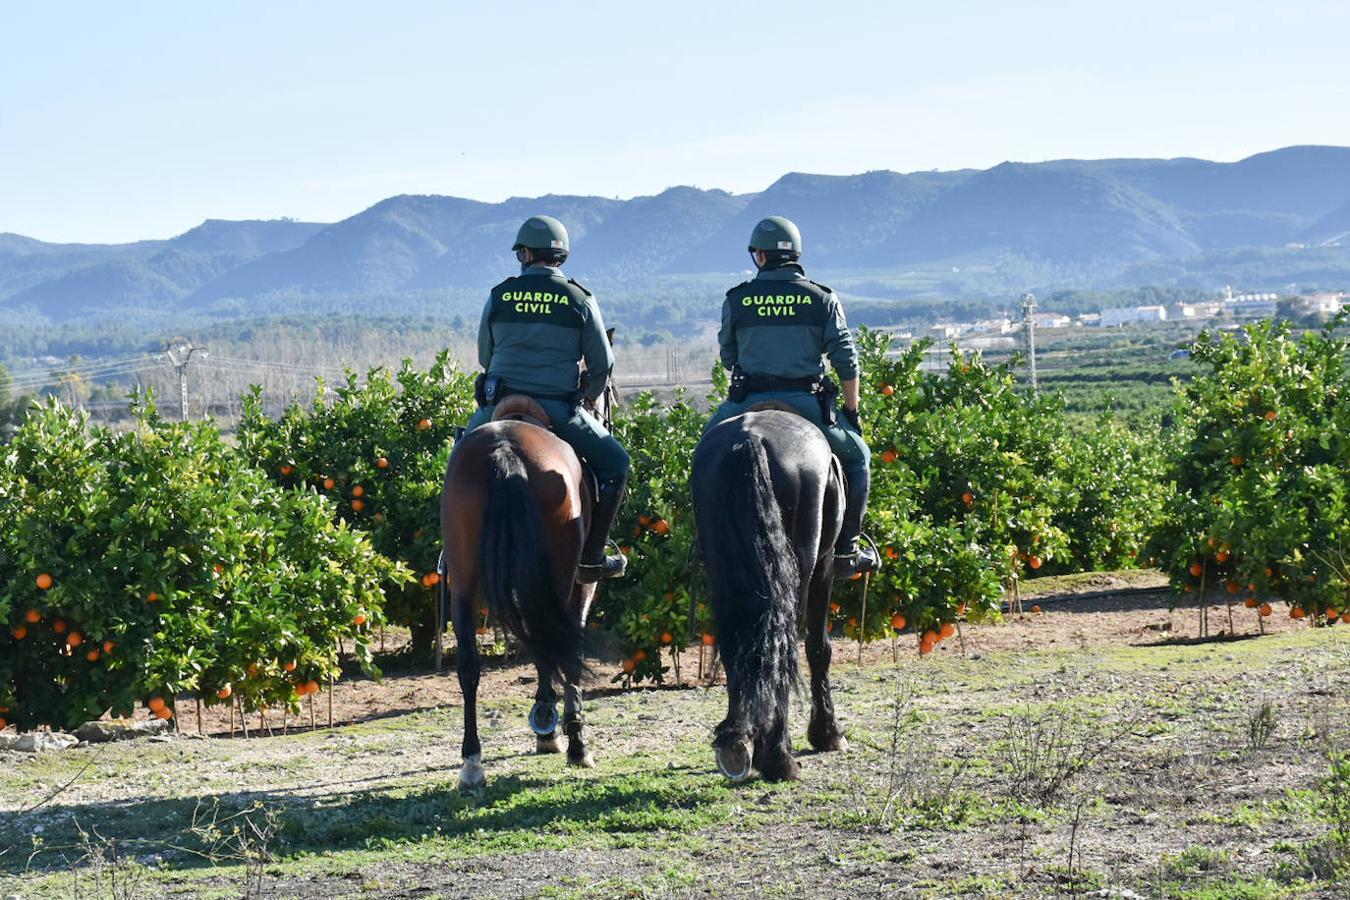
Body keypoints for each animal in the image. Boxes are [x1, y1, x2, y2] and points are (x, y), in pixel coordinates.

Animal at [440, 394, 604, 788]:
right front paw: (562, 731)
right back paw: (571, 740)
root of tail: (504, 448)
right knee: (554, 644)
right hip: (561, 576)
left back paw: (472, 763)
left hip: (462, 580)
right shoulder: (583, 583)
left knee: (468, 664)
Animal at [696, 407, 842, 782]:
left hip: (726, 574)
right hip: (805, 566)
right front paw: (827, 733)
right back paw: (778, 757)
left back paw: (737, 745)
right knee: (784, 648)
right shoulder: (826, 564)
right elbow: (819, 649)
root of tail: (749, 439)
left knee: (739, 647)